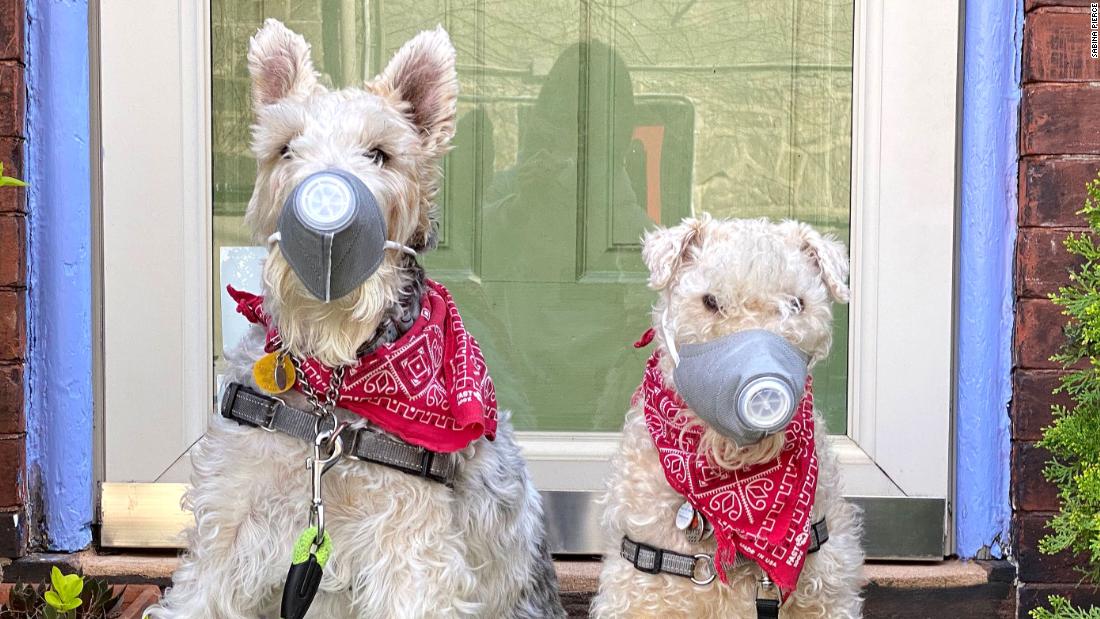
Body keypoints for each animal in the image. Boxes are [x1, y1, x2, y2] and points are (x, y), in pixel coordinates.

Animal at [150, 19, 563, 619]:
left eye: (380, 154)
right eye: (285, 149)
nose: (324, 228)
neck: (333, 379)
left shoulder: (410, 553)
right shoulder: (231, 519)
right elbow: (198, 595)